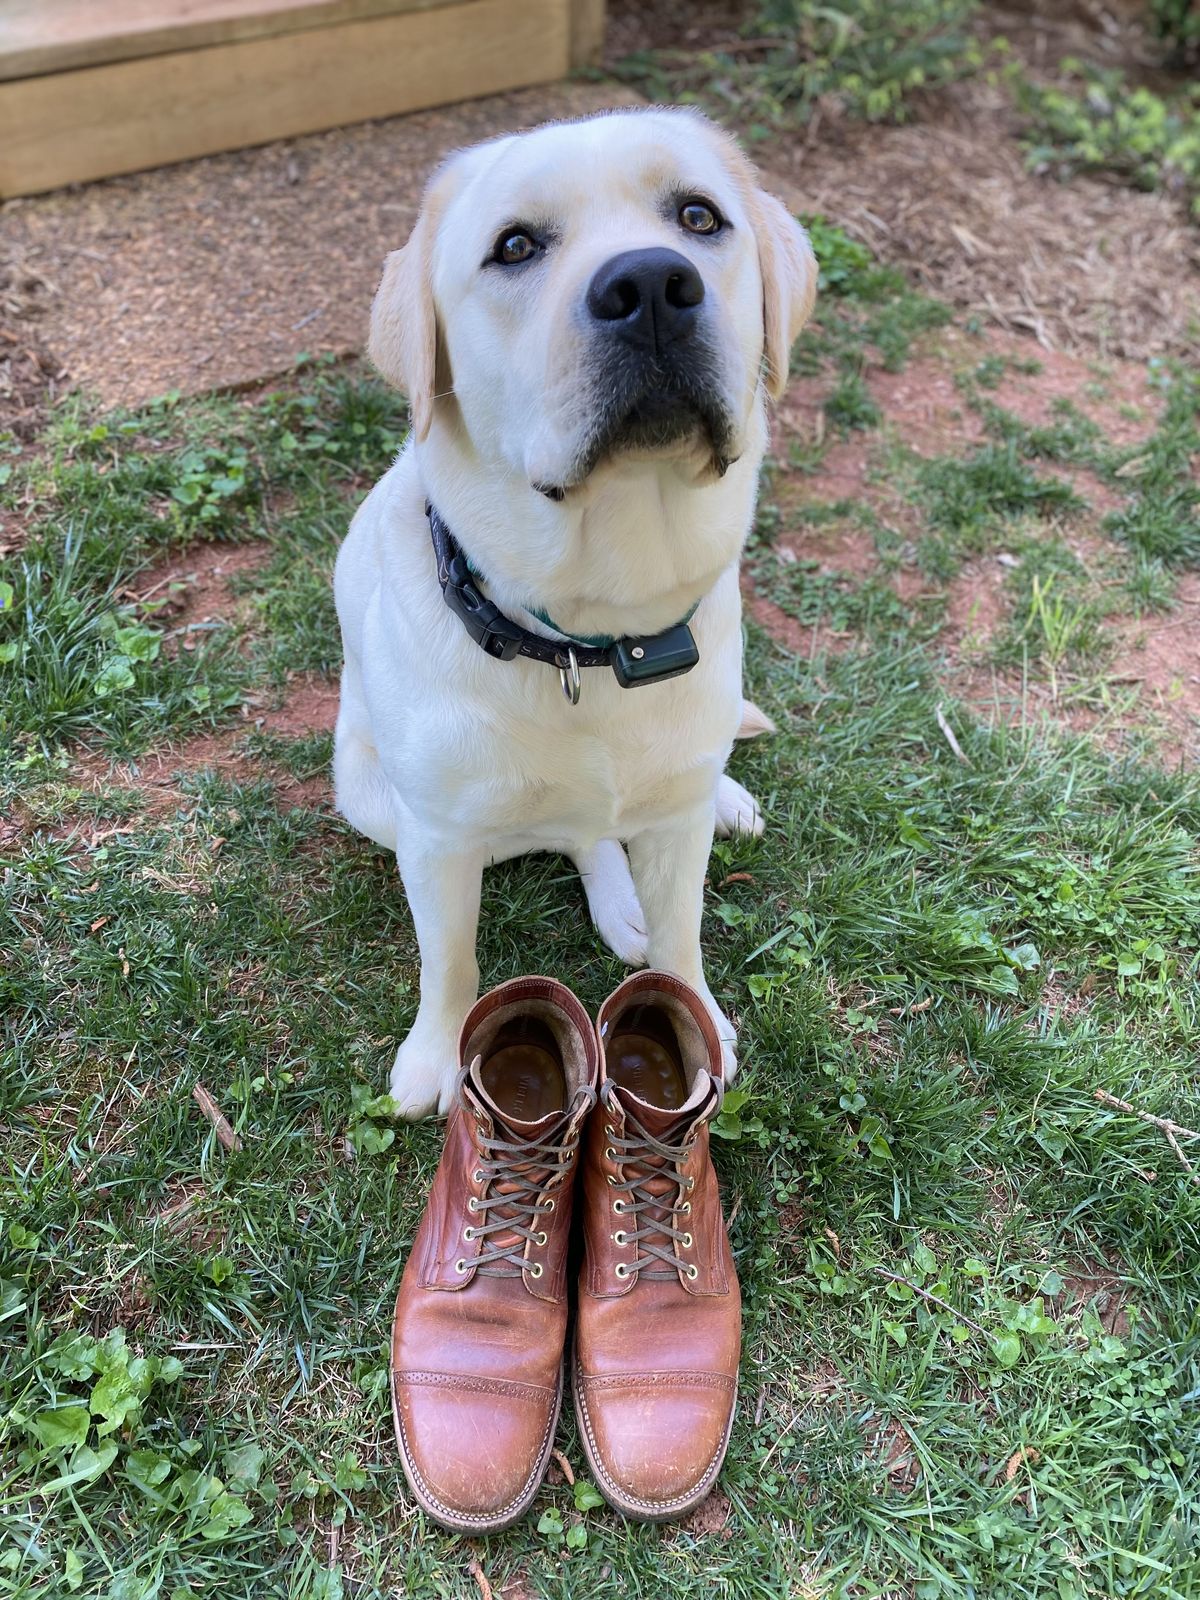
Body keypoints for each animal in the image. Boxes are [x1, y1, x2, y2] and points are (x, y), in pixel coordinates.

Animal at [334, 109, 812, 1113]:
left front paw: (693, 1018)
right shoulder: (436, 842)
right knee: (578, 833)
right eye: (515, 246)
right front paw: (436, 1056)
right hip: (369, 797)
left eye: (699, 217)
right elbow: (452, 962)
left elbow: (680, 935)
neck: (594, 638)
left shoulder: (674, 824)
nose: (652, 286)